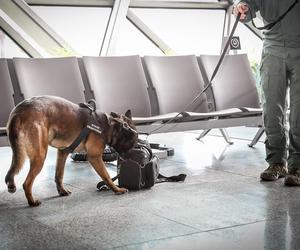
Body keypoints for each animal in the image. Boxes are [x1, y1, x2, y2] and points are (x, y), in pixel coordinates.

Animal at [4, 94, 138, 206]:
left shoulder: (62, 152)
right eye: (133, 144)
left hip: (20, 152)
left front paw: (62, 191)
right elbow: (107, 176)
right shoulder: (94, 157)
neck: (109, 125)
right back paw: (32, 202)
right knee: (26, 183)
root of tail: (18, 112)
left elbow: (59, 175)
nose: (132, 160)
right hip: (40, 156)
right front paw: (116, 189)